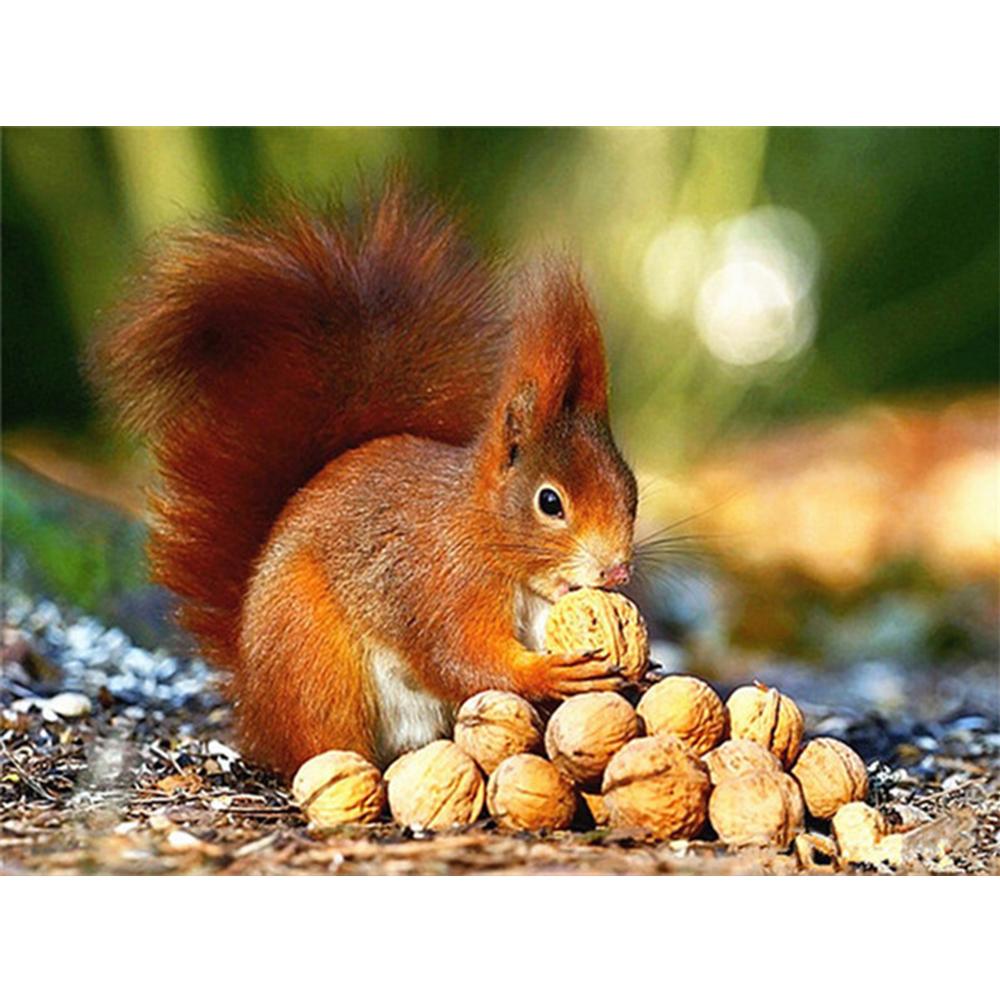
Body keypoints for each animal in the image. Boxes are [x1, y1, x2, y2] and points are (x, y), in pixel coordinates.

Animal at [91, 180, 638, 777]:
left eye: (632, 492)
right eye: (550, 502)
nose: (616, 571)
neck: (484, 533)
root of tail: (253, 703)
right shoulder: (442, 584)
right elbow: (460, 656)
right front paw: (547, 673)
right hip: (313, 659)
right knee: (326, 738)